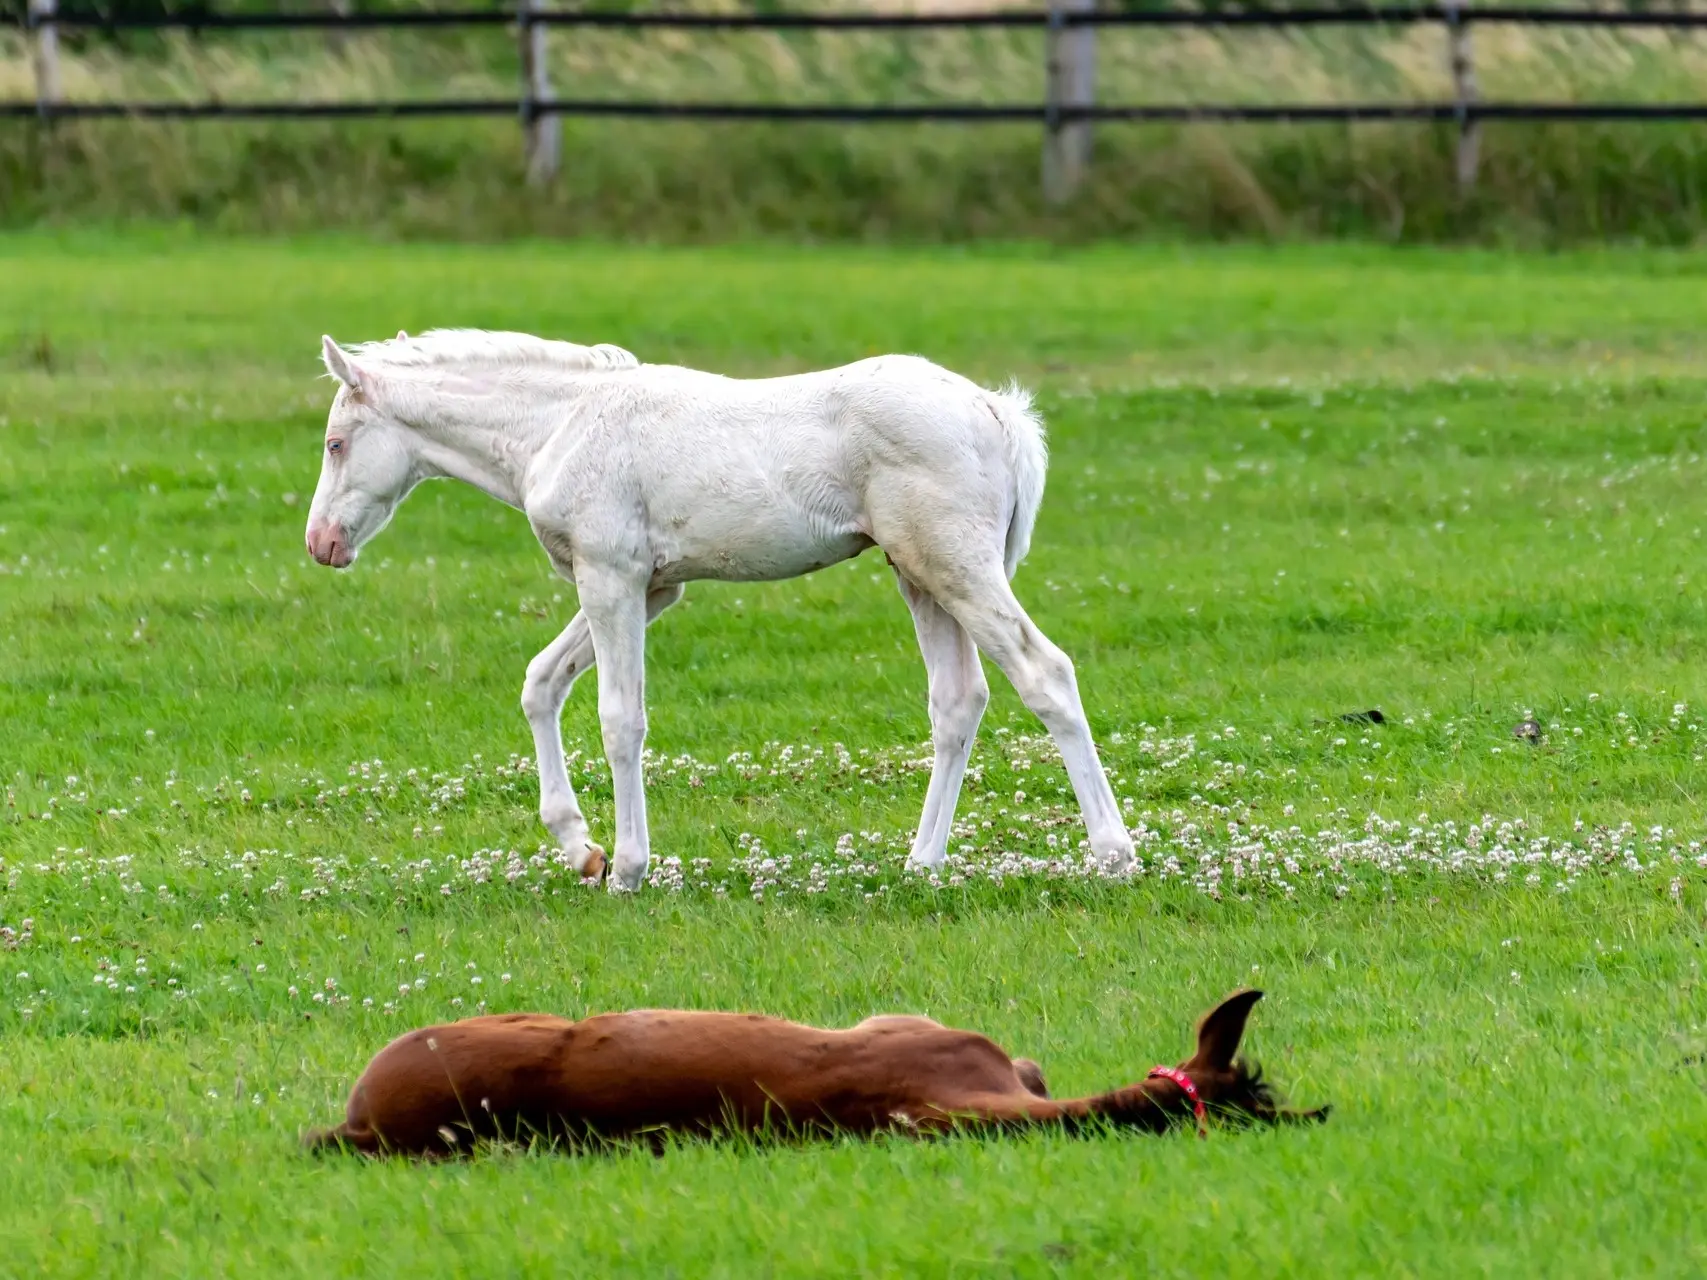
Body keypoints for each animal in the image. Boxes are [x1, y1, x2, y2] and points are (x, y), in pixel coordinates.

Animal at [307, 331, 1133, 894]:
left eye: (337, 442)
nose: (321, 544)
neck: (560, 425)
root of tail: (996, 410)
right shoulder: (650, 588)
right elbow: (541, 683)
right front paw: (579, 847)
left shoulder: (610, 578)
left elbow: (619, 719)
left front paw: (627, 868)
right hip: (918, 576)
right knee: (958, 702)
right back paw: (921, 862)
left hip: (955, 568)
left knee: (1044, 674)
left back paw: (1113, 853)